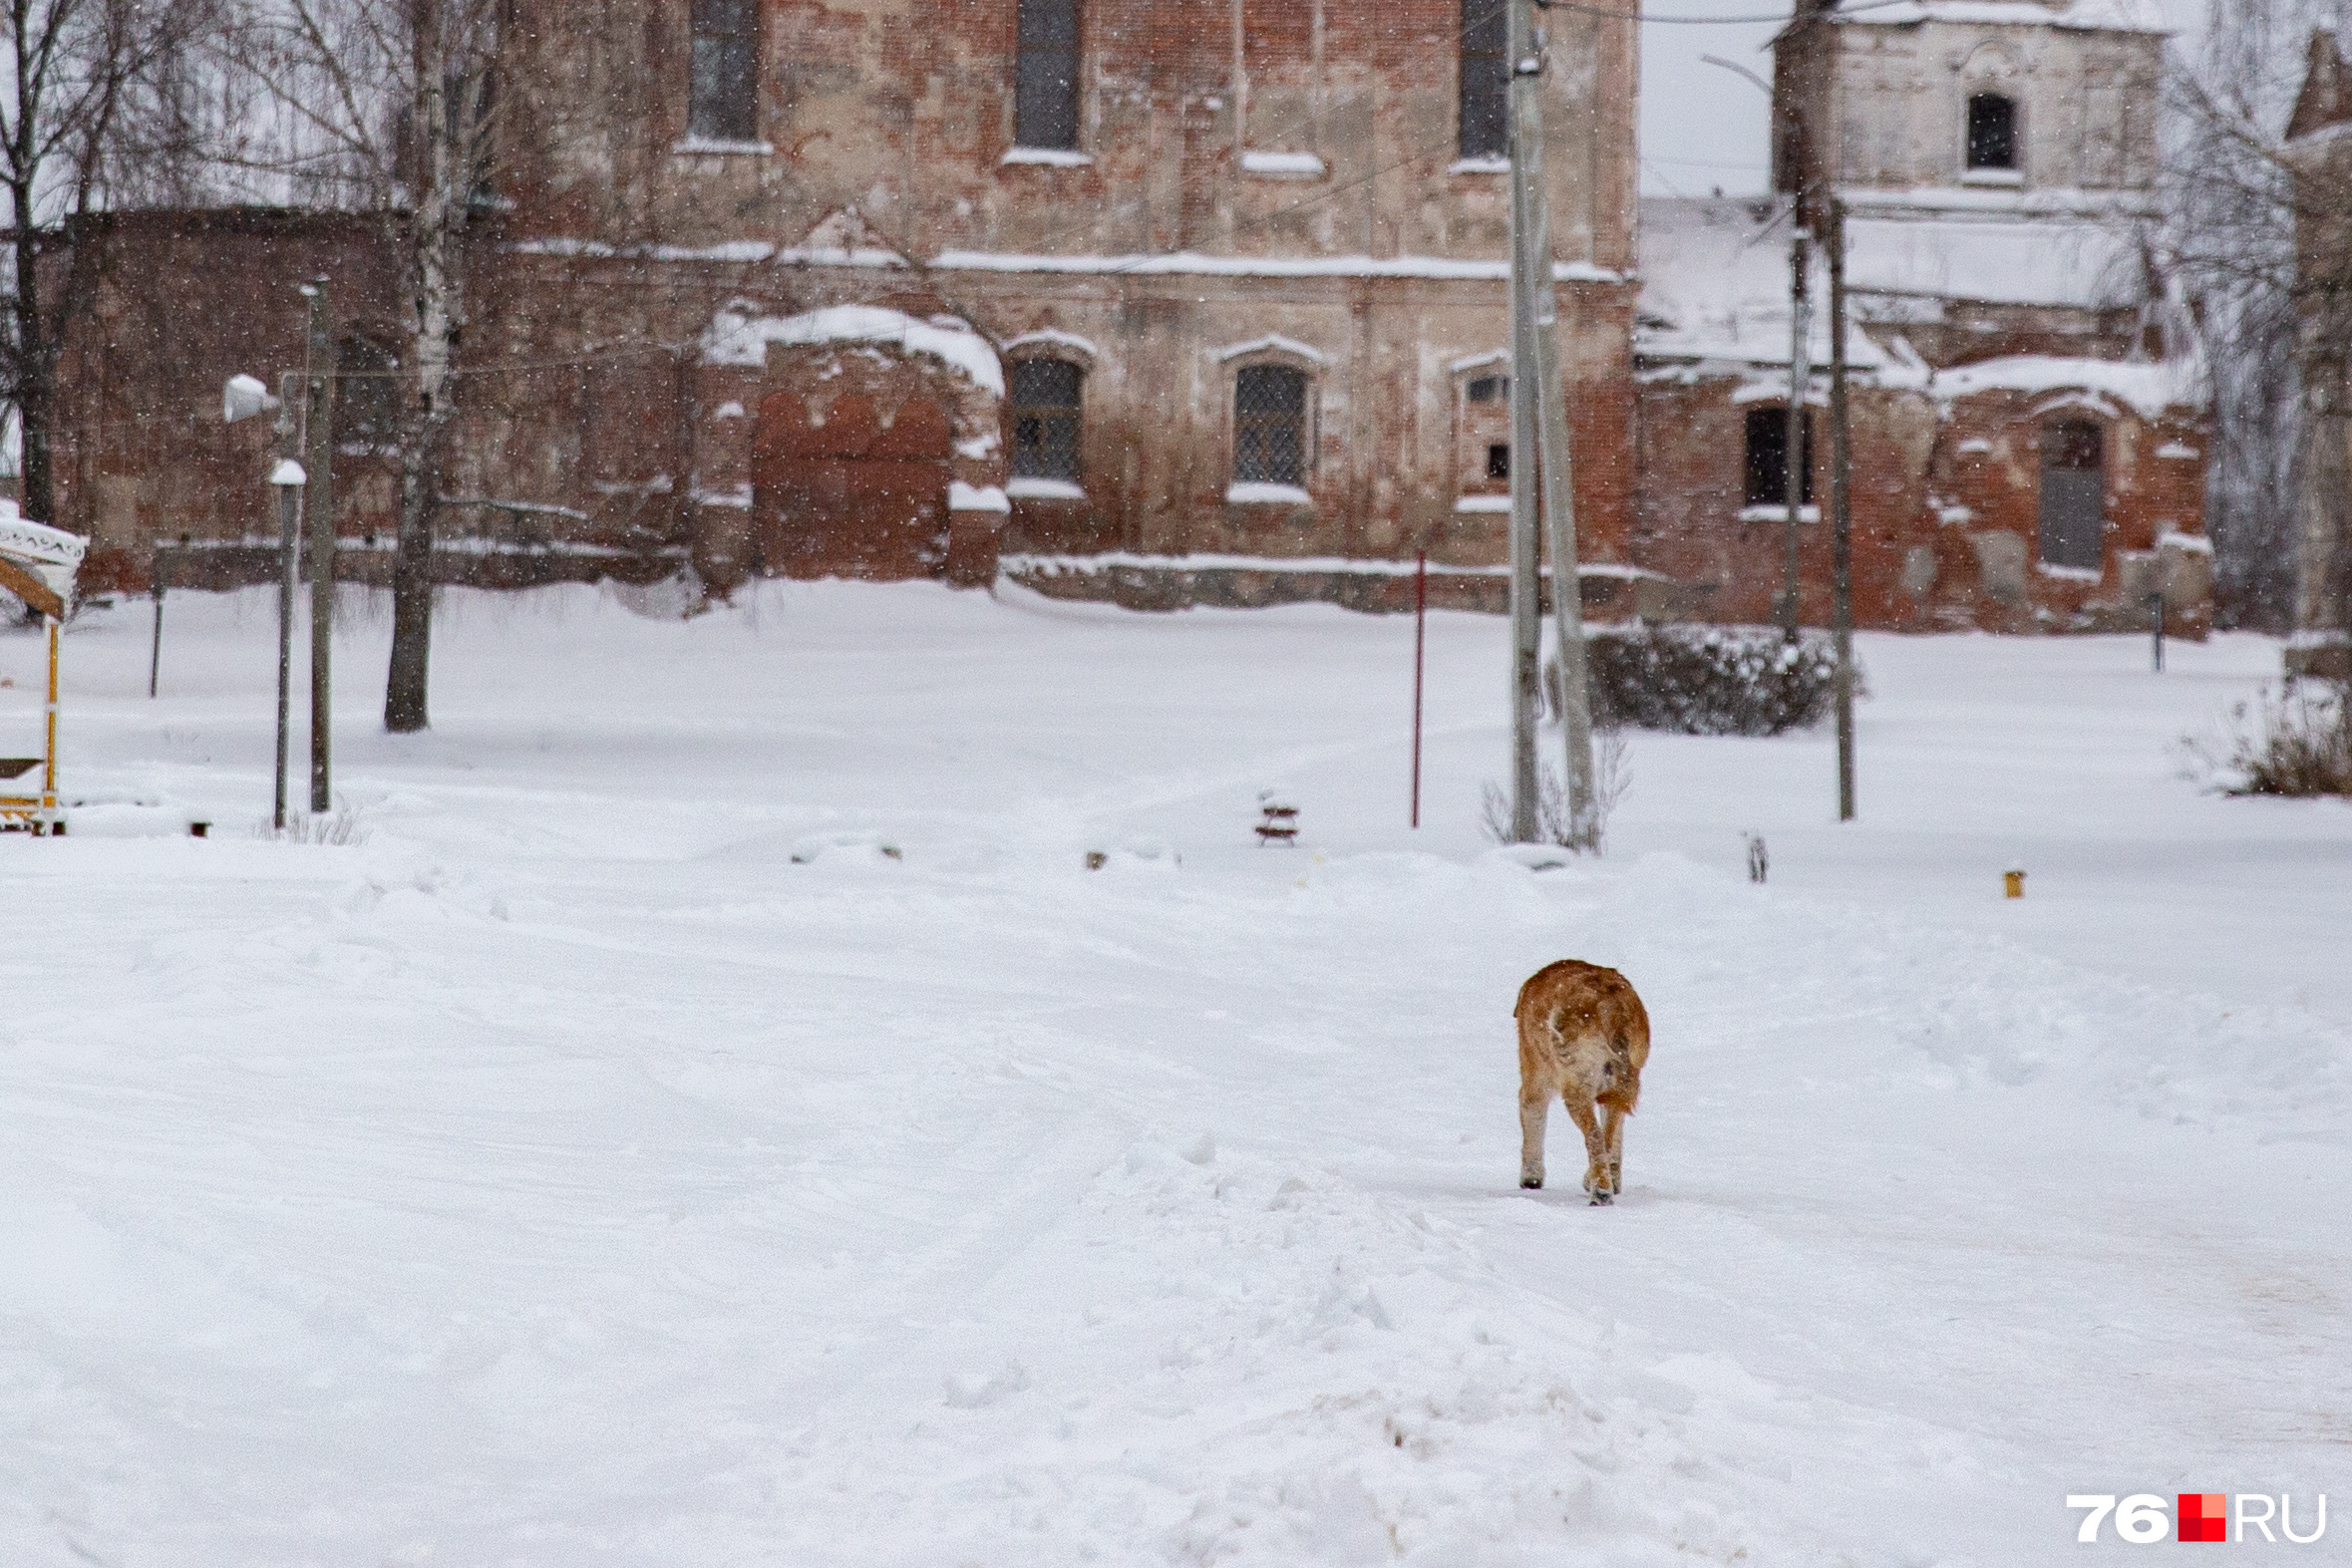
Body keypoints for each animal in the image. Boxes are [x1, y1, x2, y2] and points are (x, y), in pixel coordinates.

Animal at [1514, 959, 1646, 1203]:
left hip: (1576, 1087)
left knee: (1594, 1135)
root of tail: (1613, 1012)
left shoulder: (1535, 1077)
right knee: (1608, 1132)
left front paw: (1531, 1179)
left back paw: (1601, 1193)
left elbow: (1532, 1115)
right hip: (1622, 1080)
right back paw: (1604, 1183)